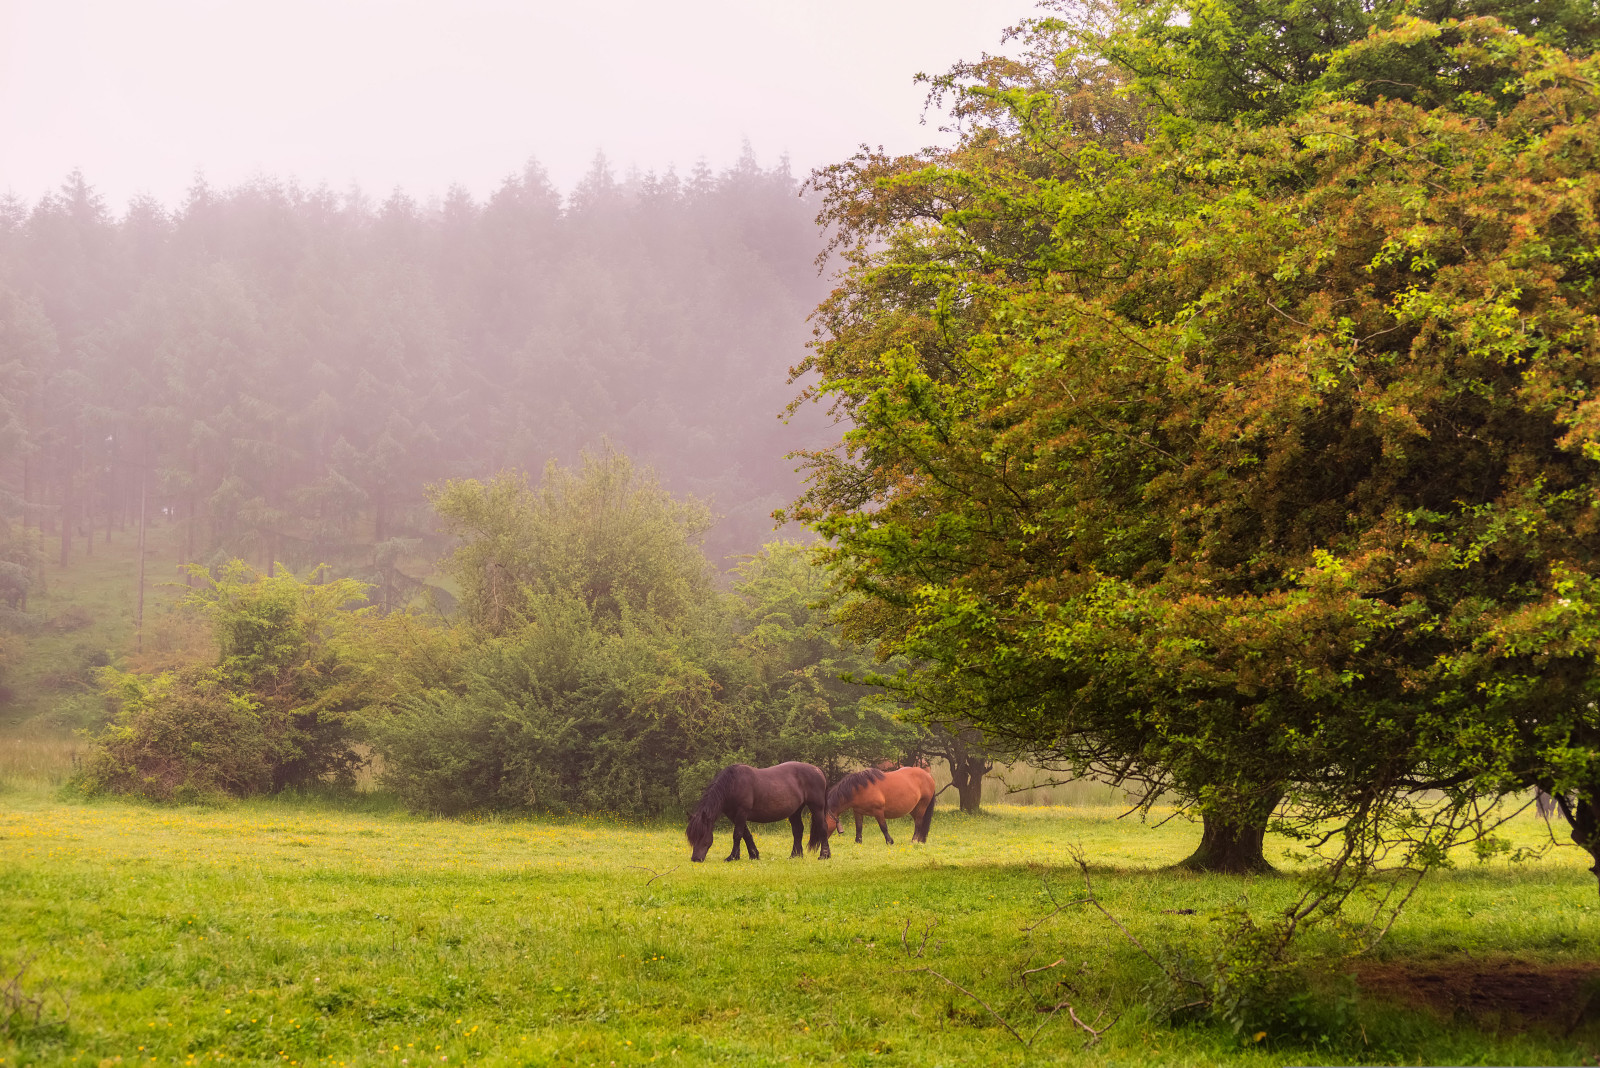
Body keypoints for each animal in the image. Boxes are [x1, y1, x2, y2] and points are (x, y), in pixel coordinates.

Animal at [681, 764, 832, 863]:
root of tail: (818, 770)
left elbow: (737, 835)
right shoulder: (733, 815)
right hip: (795, 811)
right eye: (691, 837)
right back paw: (795, 855)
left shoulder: (742, 812)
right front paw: (753, 855)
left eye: (702, 835)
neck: (733, 784)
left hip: (816, 807)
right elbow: (746, 834)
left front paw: (732, 857)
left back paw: (824, 855)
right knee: (798, 830)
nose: (695, 859)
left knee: (823, 827)